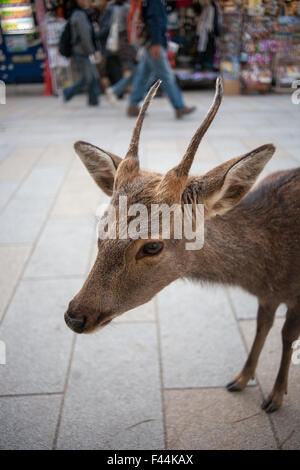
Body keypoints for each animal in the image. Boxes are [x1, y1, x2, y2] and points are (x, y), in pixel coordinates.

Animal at [64, 79, 300, 414]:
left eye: (152, 247)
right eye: (101, 226)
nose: (74, 316)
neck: (270, 271)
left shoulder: (295, 295)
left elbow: (287, 335)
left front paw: (276, 398)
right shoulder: (267, 296)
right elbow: (261, 326)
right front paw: (241, 379)